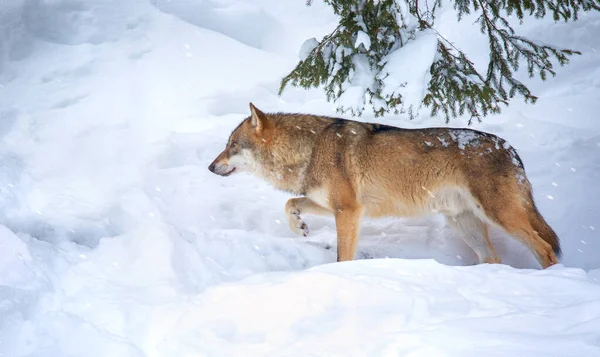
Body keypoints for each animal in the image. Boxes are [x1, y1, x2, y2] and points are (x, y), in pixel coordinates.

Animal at [209, 103, 560, 268]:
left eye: (231, 145)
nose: (211, 167)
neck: (309, 149)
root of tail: (511, 149)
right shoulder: (333, 205)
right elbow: (289, 204)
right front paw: (300, 227)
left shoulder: (348, 211)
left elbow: (343, 256)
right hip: (464, 223)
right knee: (494, 258)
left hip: (500, 215)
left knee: (545, 248)